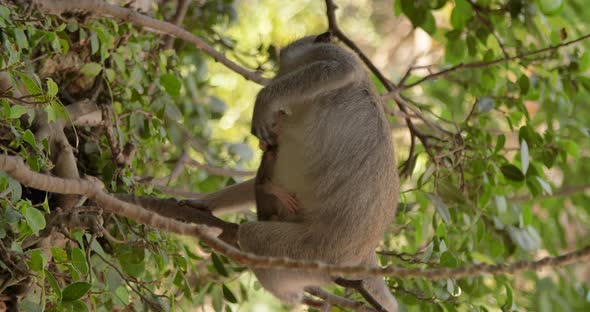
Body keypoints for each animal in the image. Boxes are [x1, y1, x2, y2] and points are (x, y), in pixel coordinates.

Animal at [206, 32, 400, 312]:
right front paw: (201, 204)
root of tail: (364, 256)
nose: (274, 77)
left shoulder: (334, 56)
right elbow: (263, 179)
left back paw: (291, 296)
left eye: (281, 63)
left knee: (253, 237)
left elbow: (341, 70)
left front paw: (265, 100)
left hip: (315, 253)